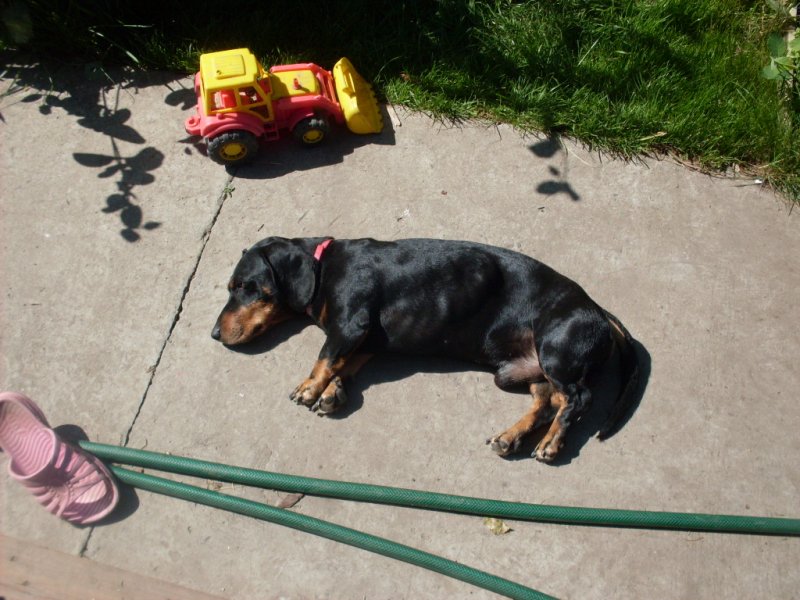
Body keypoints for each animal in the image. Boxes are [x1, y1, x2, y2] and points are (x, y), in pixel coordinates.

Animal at [212, 236, 640, 462]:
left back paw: (552, 442)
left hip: (556, 351)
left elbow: (326, 356)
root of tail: (597, 309)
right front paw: (333, 391)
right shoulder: (367, 340)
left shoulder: (352, 323)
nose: (214, 334)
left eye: (243, 286)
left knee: (577, 399)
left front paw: (310, 386)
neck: (324, 265)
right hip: (519, 373)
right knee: (547, 402)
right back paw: (512, 436)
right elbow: (344, 363)